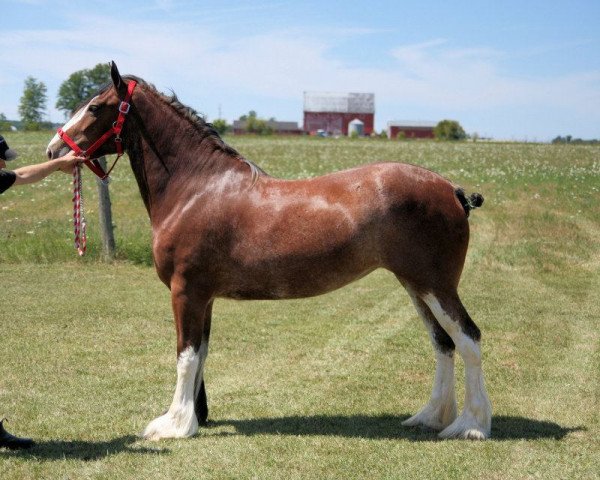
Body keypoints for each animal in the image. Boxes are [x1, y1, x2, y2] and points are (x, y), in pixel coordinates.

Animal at [45, 62, 492, 440]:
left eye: (95, 107)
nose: (53, 150)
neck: (197, 188)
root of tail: (451, 191)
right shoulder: (203, 296)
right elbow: (201, 352)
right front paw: (196, 417)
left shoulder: (185, 291)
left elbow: (185, 355)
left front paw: (173, 425)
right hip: (415, 285)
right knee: (443, 343)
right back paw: (430, 417)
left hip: (436, 286)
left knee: (468, 338)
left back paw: (471, 426)